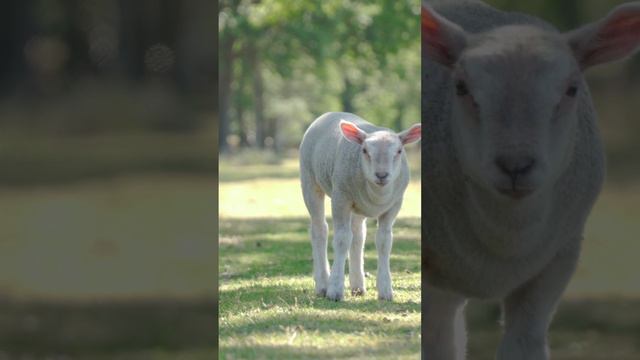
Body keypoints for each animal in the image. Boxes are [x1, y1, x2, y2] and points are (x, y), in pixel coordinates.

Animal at [298, 112, 420, 300]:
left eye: (399, 151)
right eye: (364, 150)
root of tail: (329, 114)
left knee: (358, 236)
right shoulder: (341, 198)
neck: (377, 195)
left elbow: (384, 241)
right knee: (320, 230)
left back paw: (357, 286)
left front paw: (385, 290)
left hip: (358, 205)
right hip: (309, 180)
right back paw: (323, 284)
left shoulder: (394, 205)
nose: (382, 175)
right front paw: (335, 290)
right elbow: (342, 239)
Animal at [420, 0, 640, 358]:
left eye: (571, 89)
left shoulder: (557, 258)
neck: (505, 241)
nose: (515, 165)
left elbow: (523, 344)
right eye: (461, 88)